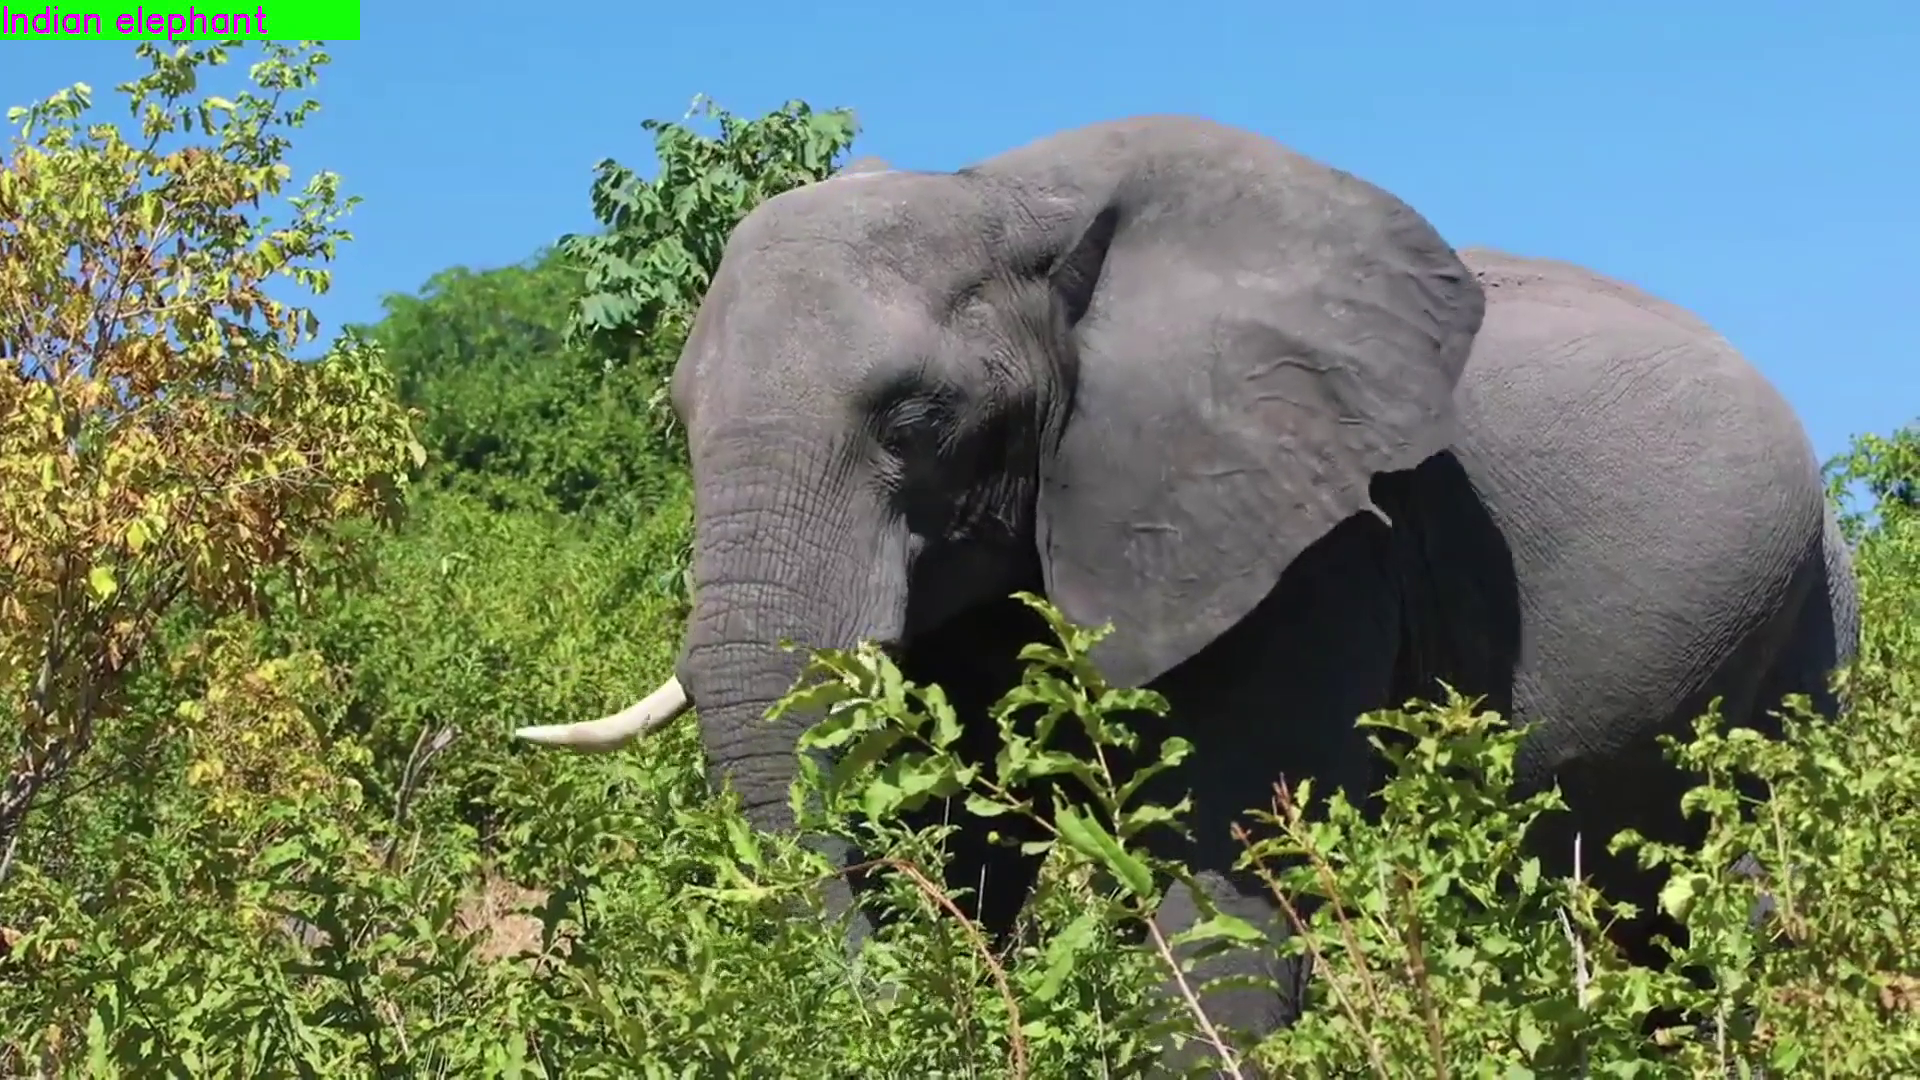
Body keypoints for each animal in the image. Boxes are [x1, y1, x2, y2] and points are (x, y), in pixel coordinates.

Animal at [514, 117, 1859, 1074]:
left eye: (915, 421)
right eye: (678, 422)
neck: (1011, 207)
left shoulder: (1309, 548)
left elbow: (1222, 877)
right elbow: (966, 834)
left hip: (1803, 617)